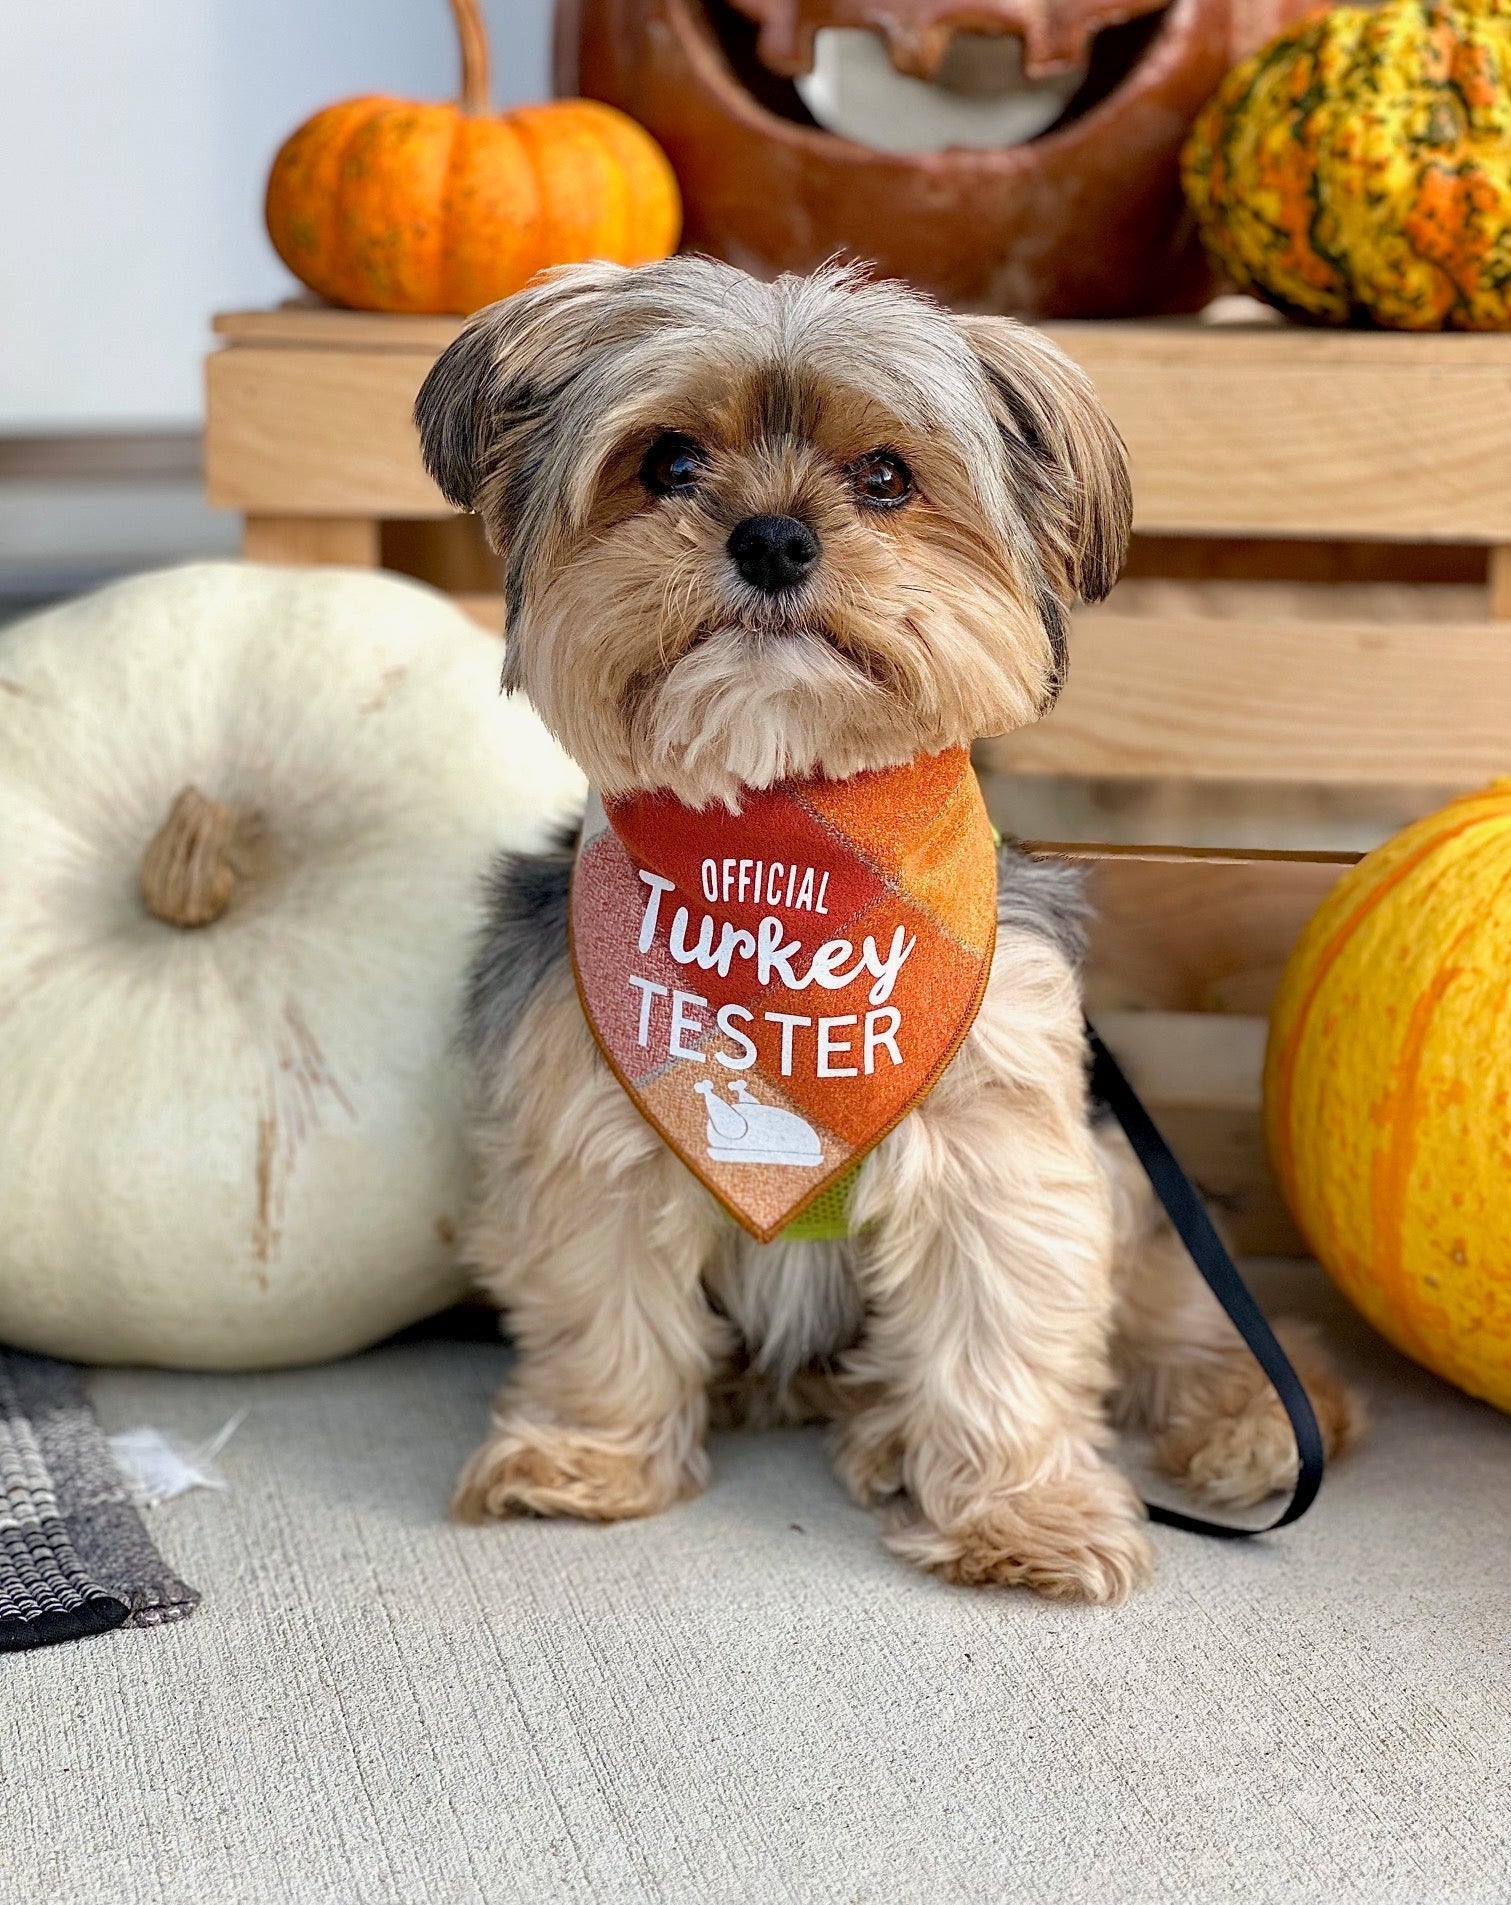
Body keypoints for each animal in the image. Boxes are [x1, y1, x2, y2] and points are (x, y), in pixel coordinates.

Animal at [409, 249, 1356, 1592]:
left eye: (887, 478)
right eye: (667, 462)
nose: (770, 537)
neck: (787, 838)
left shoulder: (997, 1144)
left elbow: (999, 1339)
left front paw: (1021, 1514)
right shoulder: (589, 1121)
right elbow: (603, 1311)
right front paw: (587, 1456)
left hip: (1133, 1186)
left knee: (1196, 1324)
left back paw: (1251, 1425)